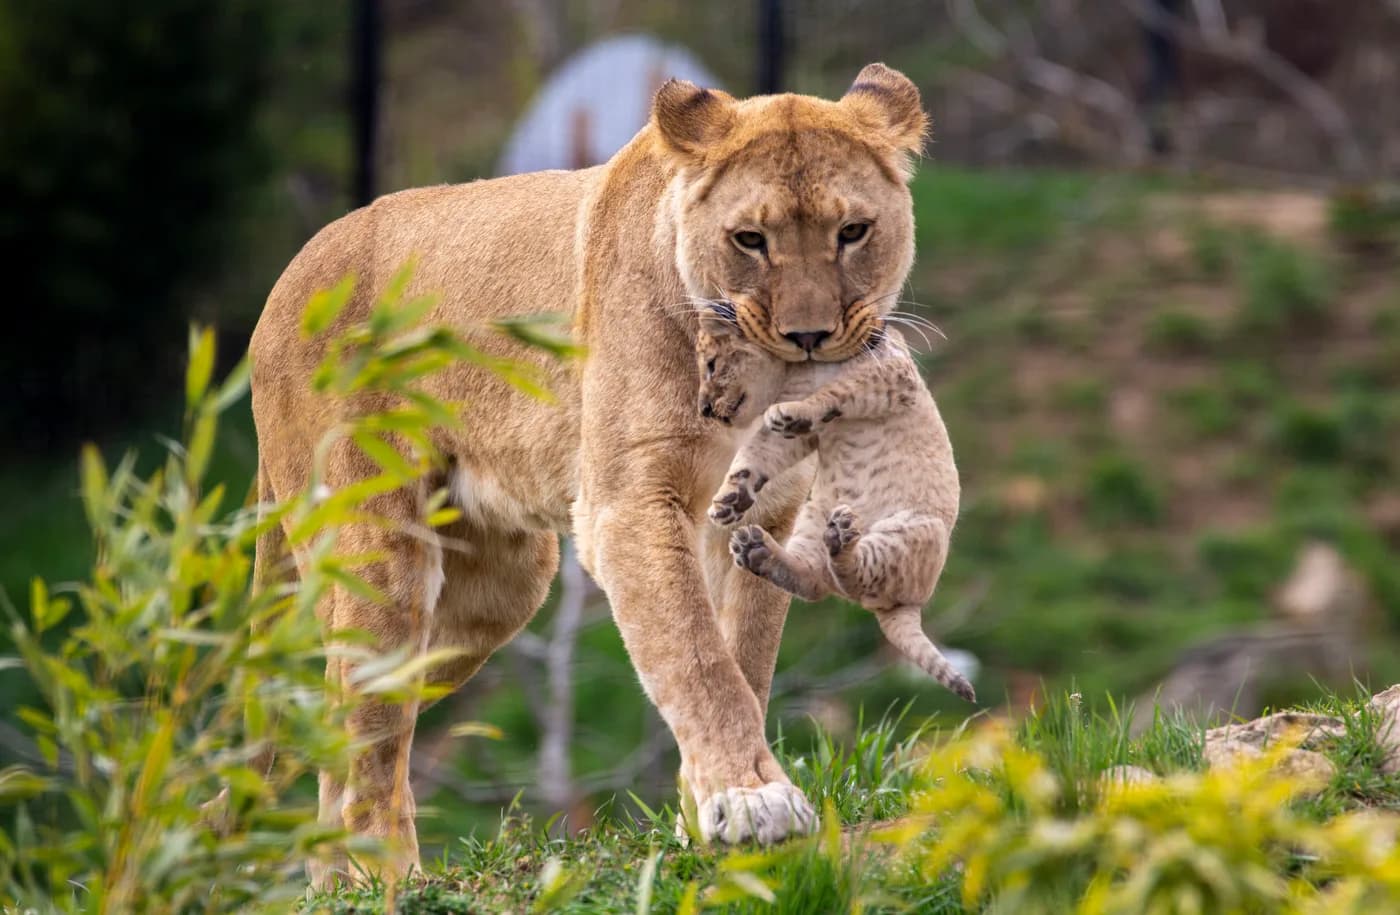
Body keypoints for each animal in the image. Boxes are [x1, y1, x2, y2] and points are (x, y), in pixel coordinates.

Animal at [248, 62, 928, 885]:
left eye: (852, 232)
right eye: (750, 240)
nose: (808, 337)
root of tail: (286, 279)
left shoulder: (766, 513)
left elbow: (744, 657)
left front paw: (708, 816)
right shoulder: (630, 503)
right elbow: (696, 654)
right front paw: (750, 801)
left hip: (499, 588)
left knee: (335, 711)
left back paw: (336, 880)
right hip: (378, 549)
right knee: (368, 723)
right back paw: (387, 879)